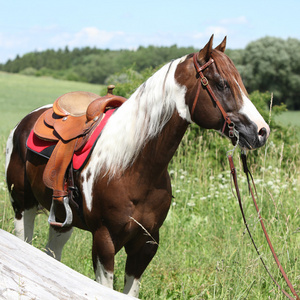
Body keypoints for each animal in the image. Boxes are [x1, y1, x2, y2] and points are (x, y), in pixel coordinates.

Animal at [5, 35, 270, 298]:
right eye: (221, 84)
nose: (261, 131)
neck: (130, 167)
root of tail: (24, 122)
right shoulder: (104, 241)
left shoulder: (146, 244)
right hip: (22, 207)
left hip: (62, 220)